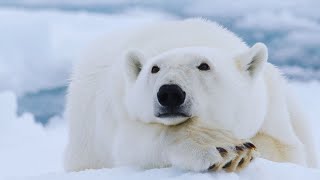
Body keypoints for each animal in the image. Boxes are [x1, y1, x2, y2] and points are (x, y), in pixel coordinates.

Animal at [64, 18, 318, 172]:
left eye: (204, 66)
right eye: (154, 68)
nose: (170, 93)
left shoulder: (271, 108)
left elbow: (285, 150)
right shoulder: (119, 108)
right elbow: (132, 144)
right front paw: (225, 148)